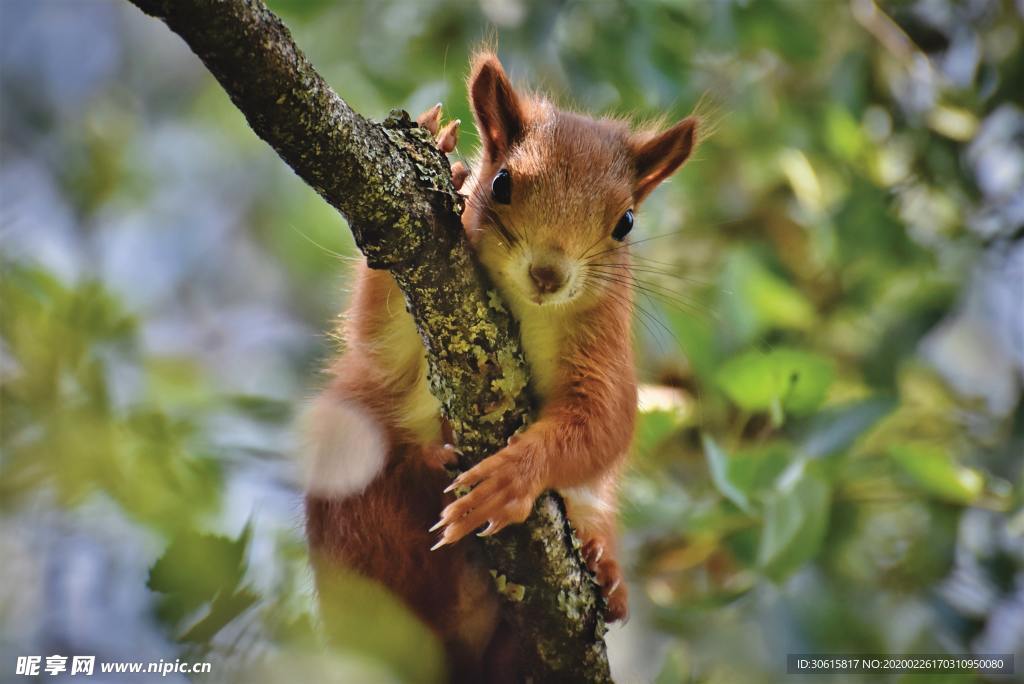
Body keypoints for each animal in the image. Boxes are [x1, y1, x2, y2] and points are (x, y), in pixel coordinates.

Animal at [303, 52, 700, 679]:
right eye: (502, 182)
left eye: (626, 222)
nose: (548, 274)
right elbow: (376, 334)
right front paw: (441, 148)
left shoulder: (604, 349)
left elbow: (603, 424)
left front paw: (512, 477)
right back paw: (426, 464)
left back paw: (602, 568)